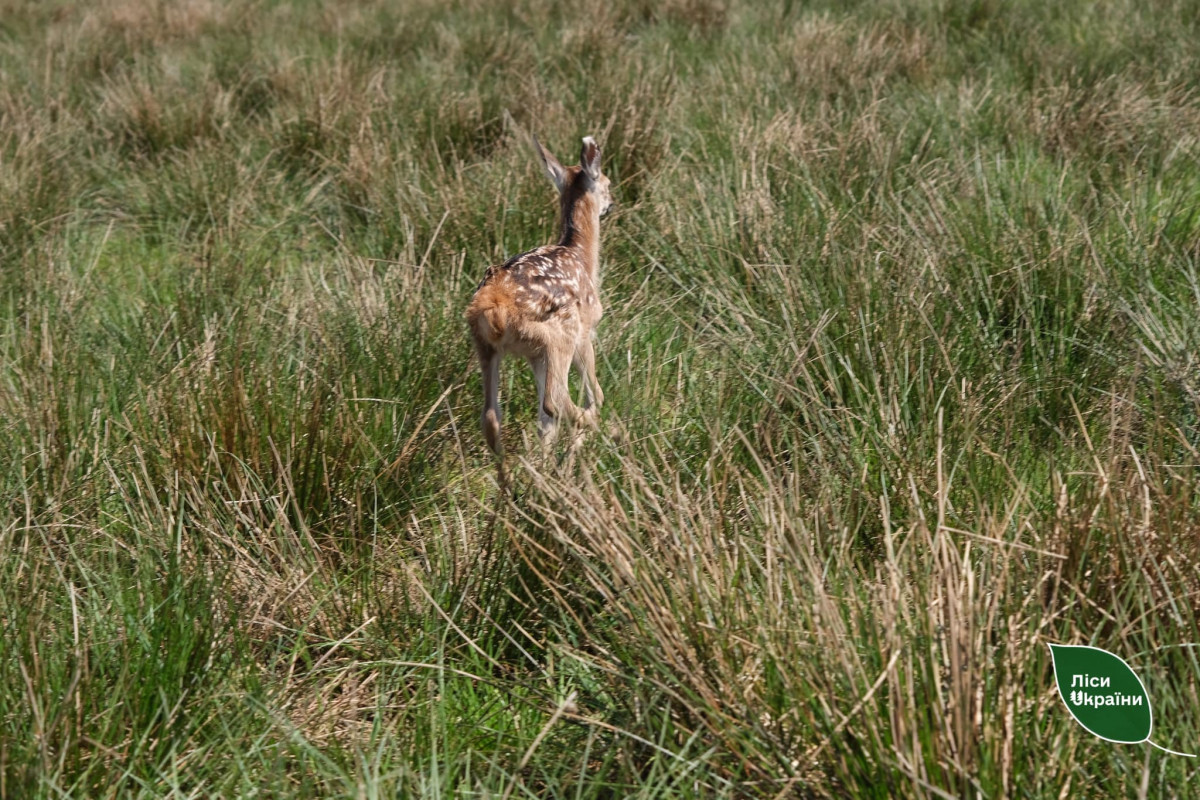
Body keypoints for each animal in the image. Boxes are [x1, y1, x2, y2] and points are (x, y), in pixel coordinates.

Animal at [465, 136, 614, 462]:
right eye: (607, 183)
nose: (612, 204)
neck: (583, 257)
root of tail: (492, 305)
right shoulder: (587, 330)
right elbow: (594, 392)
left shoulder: (535, 355)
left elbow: (547, 423)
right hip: (559, 335)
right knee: (557, 402)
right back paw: (597, 431)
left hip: (489, 346)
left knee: (492, 416)